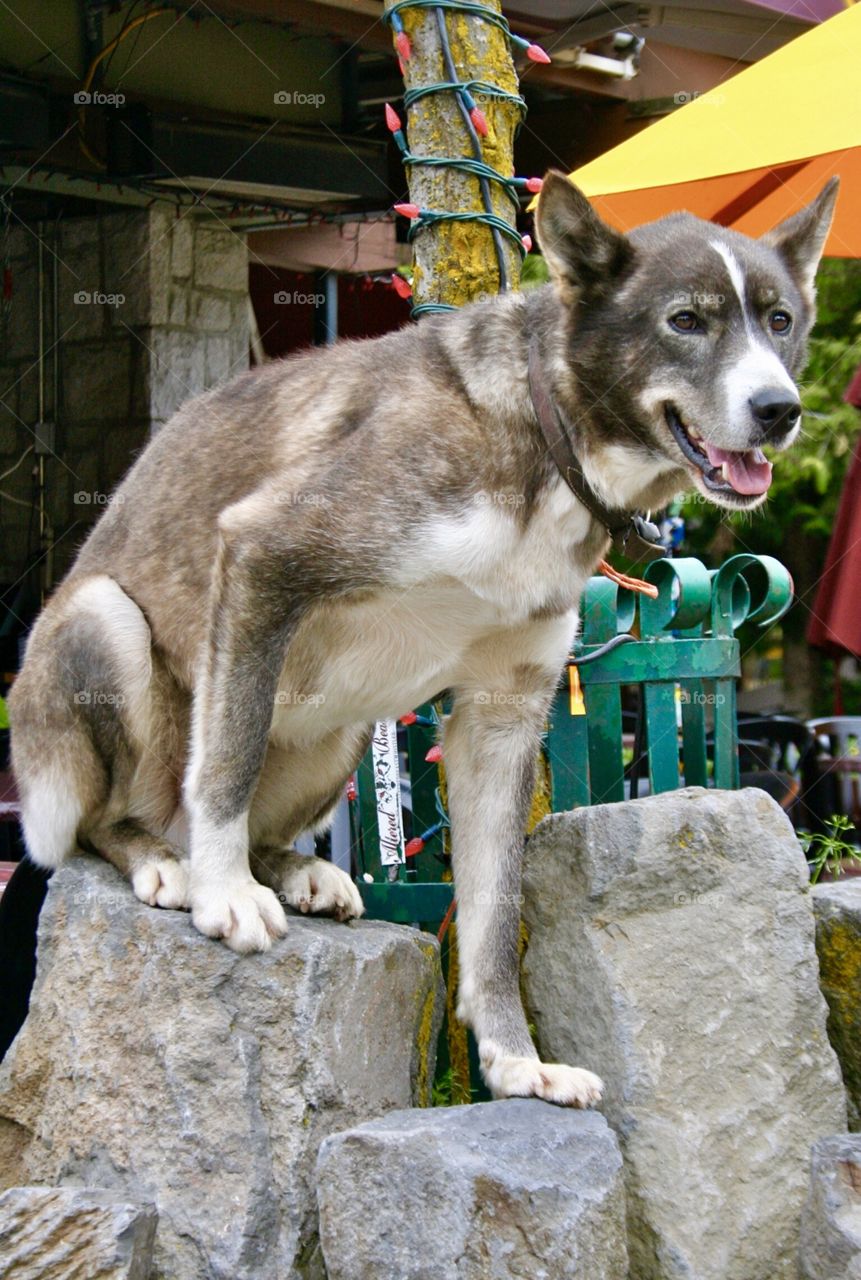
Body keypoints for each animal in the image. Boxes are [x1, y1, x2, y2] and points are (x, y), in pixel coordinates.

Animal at [10, 175, 834, 1105]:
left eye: (778, 320)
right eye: (685, 320)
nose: (778, 410)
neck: (542, 433)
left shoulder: (501, 717)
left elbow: (494, 916)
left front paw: (515, 1060)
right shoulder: (262, 556)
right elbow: (224, 767)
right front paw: (225, 895)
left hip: (340, 736)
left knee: (262, 823)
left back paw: (295, 870)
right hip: (103, 624)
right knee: (102, 822)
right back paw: (168, 860)